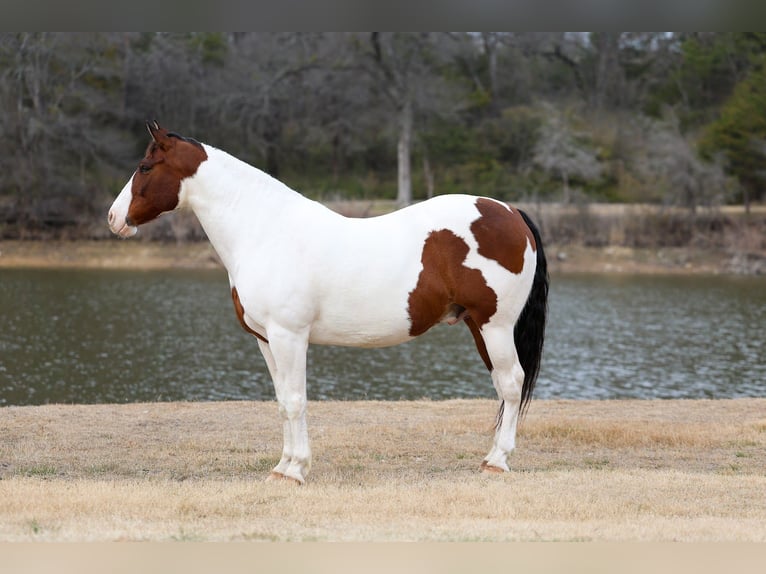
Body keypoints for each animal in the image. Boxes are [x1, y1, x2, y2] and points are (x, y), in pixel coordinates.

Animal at [108, 121, 549, 484]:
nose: (113, 218)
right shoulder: (266, 340)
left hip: (495, 325)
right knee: (502, 385)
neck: (266, 232)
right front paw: (282, 467)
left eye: (145, 167)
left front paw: (296, 471)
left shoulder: (289, 337)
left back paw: (498, 461)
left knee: (512, 383)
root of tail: (511, 212)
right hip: (478, 326)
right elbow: (283, 401)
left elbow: (296, 400)